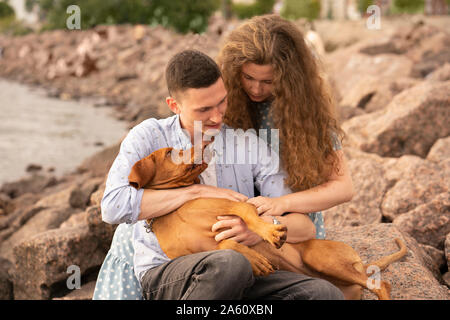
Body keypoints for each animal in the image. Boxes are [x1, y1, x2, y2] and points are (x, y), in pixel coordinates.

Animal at [128, 146, 406, 298]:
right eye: (169, 152)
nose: (204, 143)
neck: (174, 210)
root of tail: (361, 265)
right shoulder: (191, 254)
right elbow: (224, 245)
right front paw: (254, 259)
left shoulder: (235, 205)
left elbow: (250, 218)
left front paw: (270, 234)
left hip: (320, 257)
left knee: (383, 285)